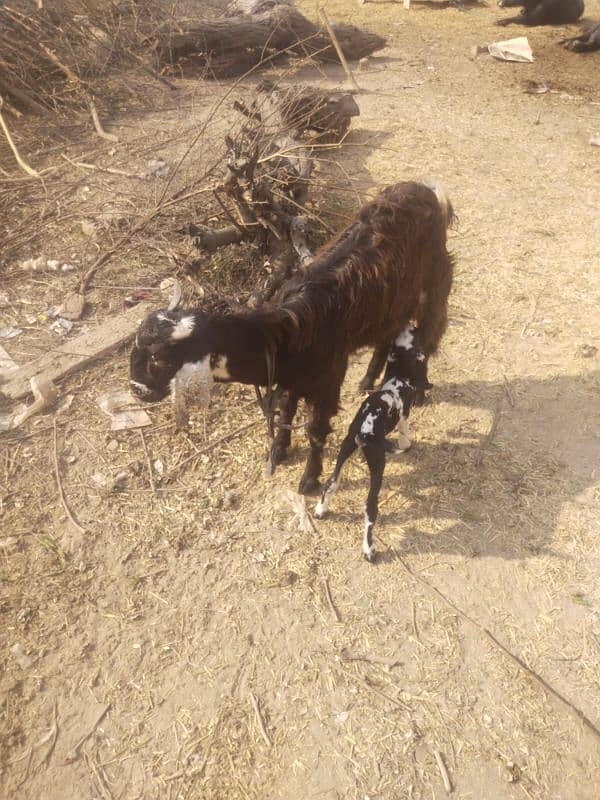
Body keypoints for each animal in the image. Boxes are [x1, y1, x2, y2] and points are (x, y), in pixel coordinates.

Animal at [129, 182, 452, 494]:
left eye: (159, 358)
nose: (137, 390)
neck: (286, 336)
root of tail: (427, 190)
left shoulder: (327, 382)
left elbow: (315, 430)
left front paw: (309, 479)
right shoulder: (291, 378)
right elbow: (285, 413)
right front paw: (278, 450)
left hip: (434, 284)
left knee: (430, 331)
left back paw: (419, 392)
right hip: (391, 302)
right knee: (387, 336)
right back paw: (369, 379)